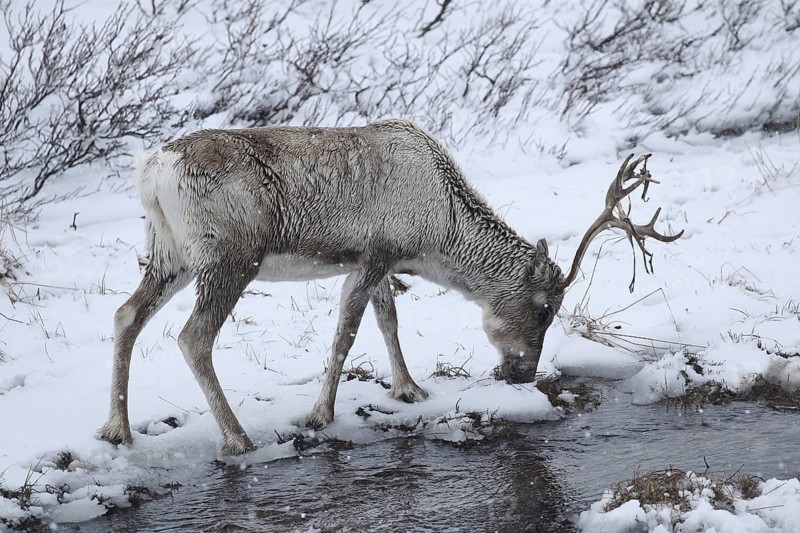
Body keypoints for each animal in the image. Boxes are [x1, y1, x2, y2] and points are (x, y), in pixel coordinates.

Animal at [98, 119, 682, 455]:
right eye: (543, 309)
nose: (521, 374)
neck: (437, 235)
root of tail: (152, 169)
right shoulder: (377, 252)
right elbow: (346, 332)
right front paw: (320, 414)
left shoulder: (373, 260)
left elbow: (387, 320)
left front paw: (408, 389)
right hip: (229, 257)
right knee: (193, 337)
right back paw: (239, 439)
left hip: (168, 253)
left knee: (126, 314)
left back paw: (116, 430)